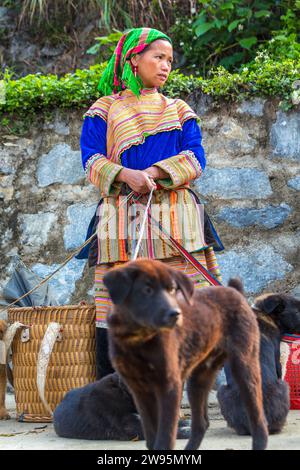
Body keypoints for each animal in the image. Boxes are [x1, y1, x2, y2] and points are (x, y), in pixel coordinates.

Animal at [103, 258, 268, 450]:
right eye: (147, 289)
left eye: (172, 290)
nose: (175, 314)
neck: (138, 339)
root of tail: (235, 292)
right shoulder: (139, 390)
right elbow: (151, 438)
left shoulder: (169, 386)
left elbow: (164, 438)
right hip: (199, 377)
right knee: (202, 423)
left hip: (244, 366)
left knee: (258, 418)